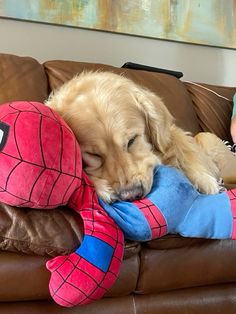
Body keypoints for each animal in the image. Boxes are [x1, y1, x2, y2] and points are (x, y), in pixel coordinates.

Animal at [45, 71, 222, 202]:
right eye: (94, 155)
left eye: (131, 141)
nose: (131, 195)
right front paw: (103, 188)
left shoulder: (172, 134)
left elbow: (185, 150)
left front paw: (208, 182)